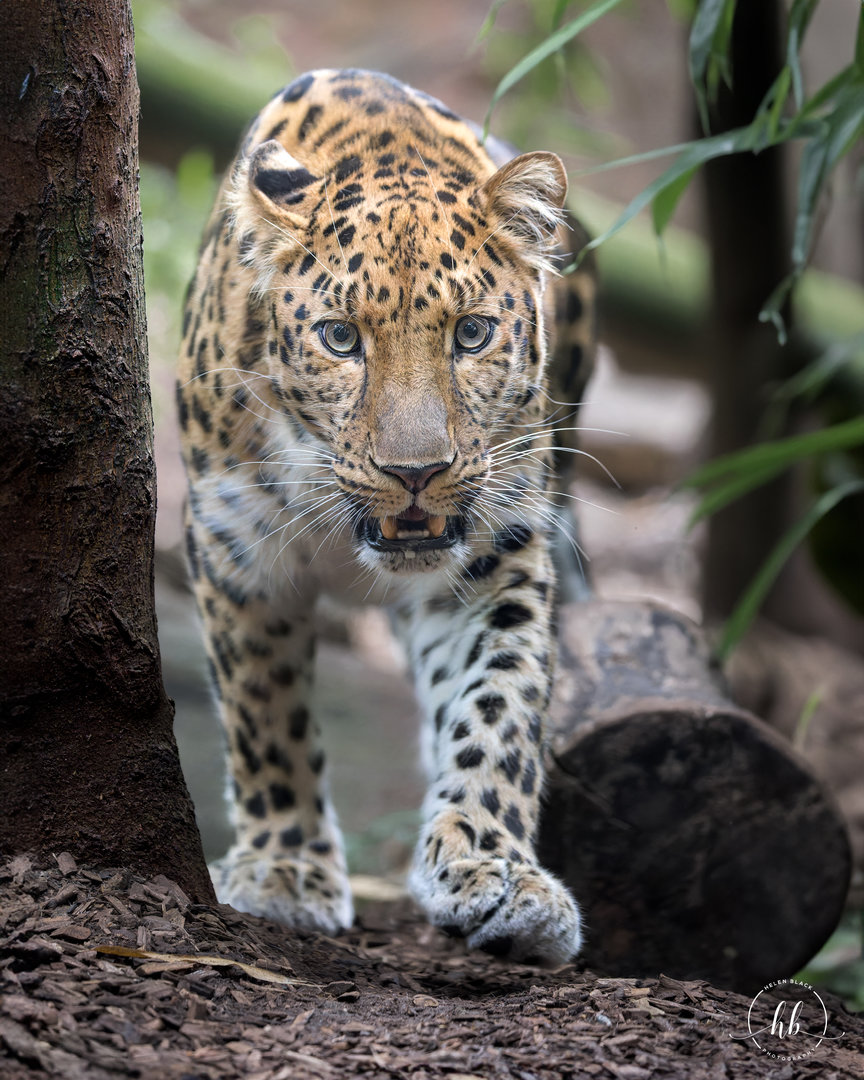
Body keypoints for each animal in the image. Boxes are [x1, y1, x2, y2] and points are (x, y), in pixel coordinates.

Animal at [176, 68, 596, 965]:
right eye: (341, 338)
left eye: (471, 334)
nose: (415, 474)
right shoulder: (236, 553)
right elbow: (266, 713)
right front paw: (285, 871)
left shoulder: (497, 557)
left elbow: (498, 707)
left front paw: (495, 869)